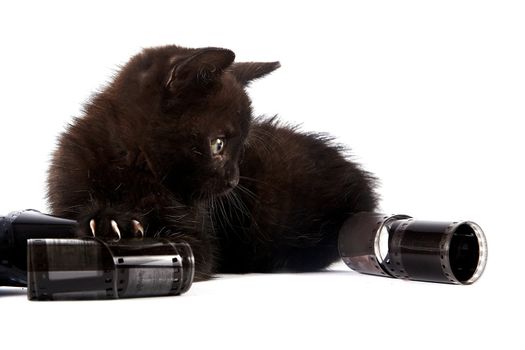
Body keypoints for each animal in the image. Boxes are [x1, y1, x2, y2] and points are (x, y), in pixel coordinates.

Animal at [47, 45, 376, 280]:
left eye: (241, 148)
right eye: (218, 144)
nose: (234, 180)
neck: (134, 165)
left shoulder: (199, 239)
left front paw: (118, 224)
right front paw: (107, 221)